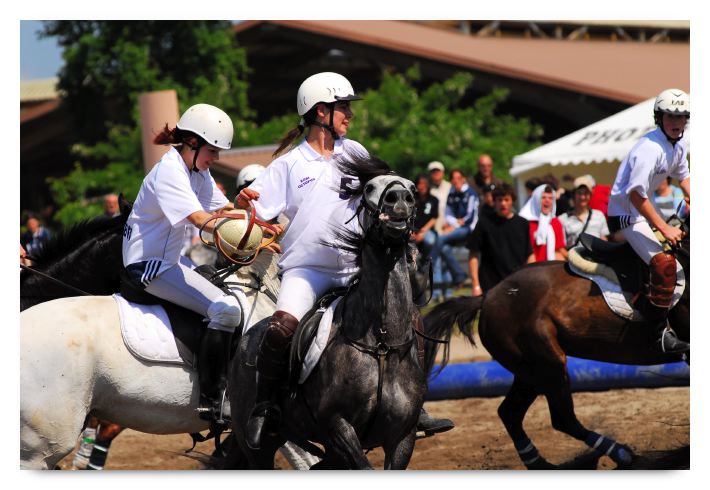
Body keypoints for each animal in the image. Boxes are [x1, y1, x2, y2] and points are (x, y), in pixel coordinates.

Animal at [423, 223, 690, 469]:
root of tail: (487, 296)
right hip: (548, 364)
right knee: (562, 419)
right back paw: (620, 453)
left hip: (529, 371)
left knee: (510, 413)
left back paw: (539, 464)